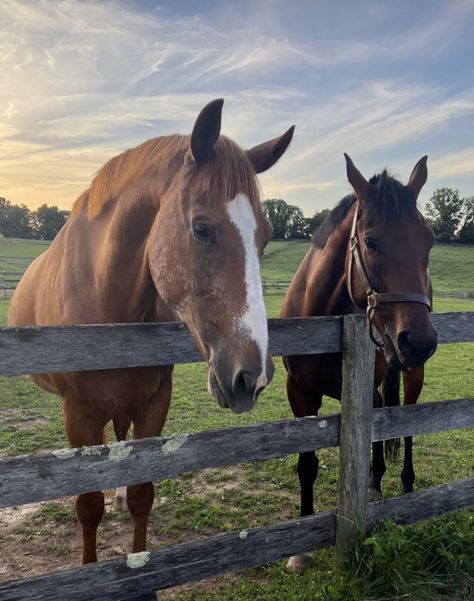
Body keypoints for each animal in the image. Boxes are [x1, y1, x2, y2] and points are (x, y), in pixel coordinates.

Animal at [8, 101, 292, 580]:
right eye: (201, 229)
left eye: (266, 235)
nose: (250, 377)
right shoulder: (78, 415)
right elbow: (87, 505)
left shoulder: (155, 403)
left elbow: (143, 493)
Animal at [282, 155, 436, 572]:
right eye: (370, 241)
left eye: (429, 240)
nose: (419, 341)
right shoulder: (300, 393)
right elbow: (307, 463)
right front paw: (300, 550)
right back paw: (375, 482)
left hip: (412, 375)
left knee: (408, 422)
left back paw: (404, 483)